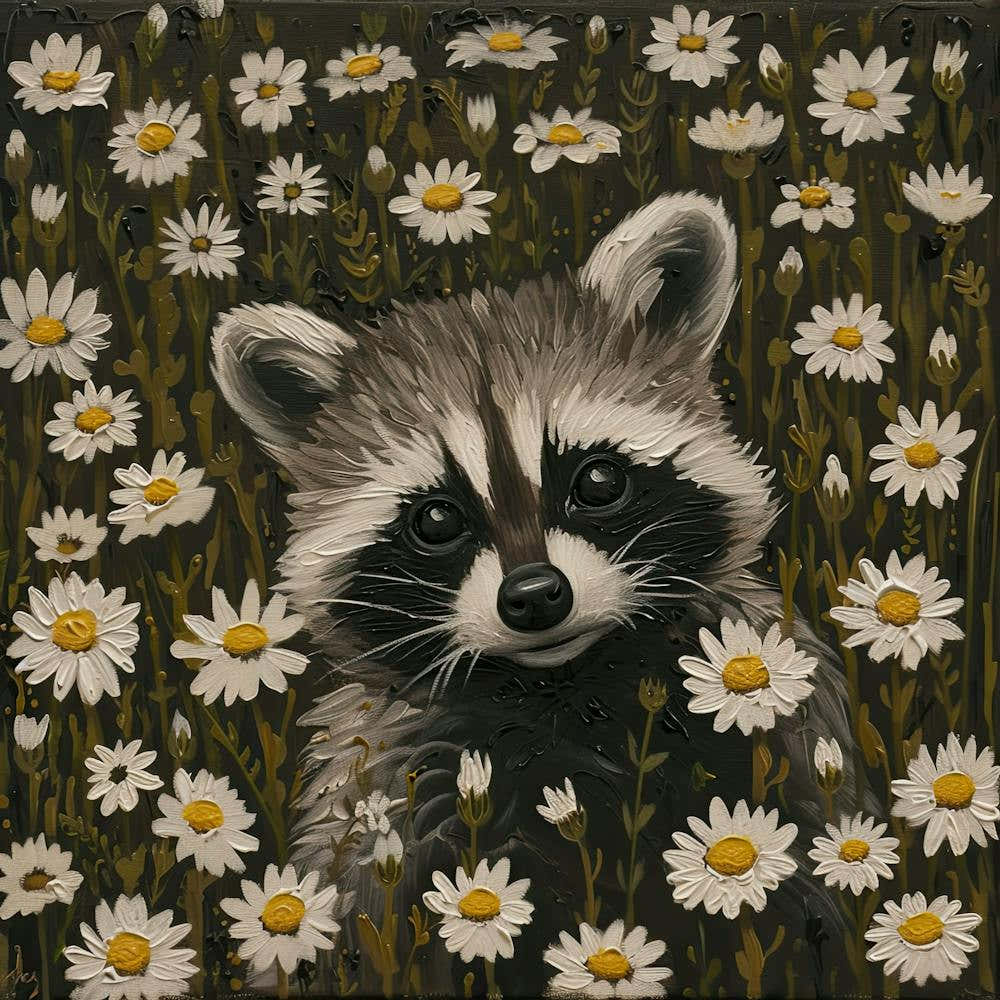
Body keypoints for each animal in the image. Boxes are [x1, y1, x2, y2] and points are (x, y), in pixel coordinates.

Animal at [212, 192, 860, 995]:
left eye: (599, 479)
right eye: (436, 519)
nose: (534, 597)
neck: (565, 687)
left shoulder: (778, 744)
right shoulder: (397, 792)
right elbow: (373, 921)